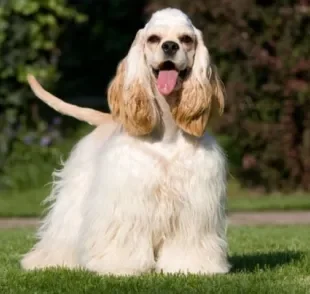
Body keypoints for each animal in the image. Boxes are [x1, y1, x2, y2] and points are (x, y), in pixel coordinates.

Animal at [20, 8, 230, 276]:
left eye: (186, 39)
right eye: (153, 39)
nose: (170, 46)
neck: (167, 133)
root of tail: (105, 119)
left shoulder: (194, 202)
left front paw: (191, 267)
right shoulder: (127, 199)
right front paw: (119, 266)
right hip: (76, 193)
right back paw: (48, 261)